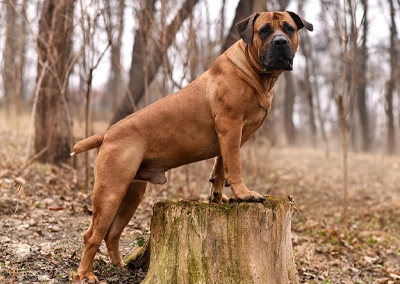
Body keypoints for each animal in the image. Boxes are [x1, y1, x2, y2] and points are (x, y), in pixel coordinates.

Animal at [72, 10, 312, 282]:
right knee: (92, 235)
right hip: (111, 191)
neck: (255, 72)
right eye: (264, 30)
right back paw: (85, 274)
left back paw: (119, 265)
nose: (280, 42)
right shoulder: (230, 127)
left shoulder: (229, 136)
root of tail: (108, 134)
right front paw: (244, 194)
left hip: (131, 193)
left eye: (289, 28)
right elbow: (234, 166)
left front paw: (218, 198)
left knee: (112, 233)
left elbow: (221, 168)